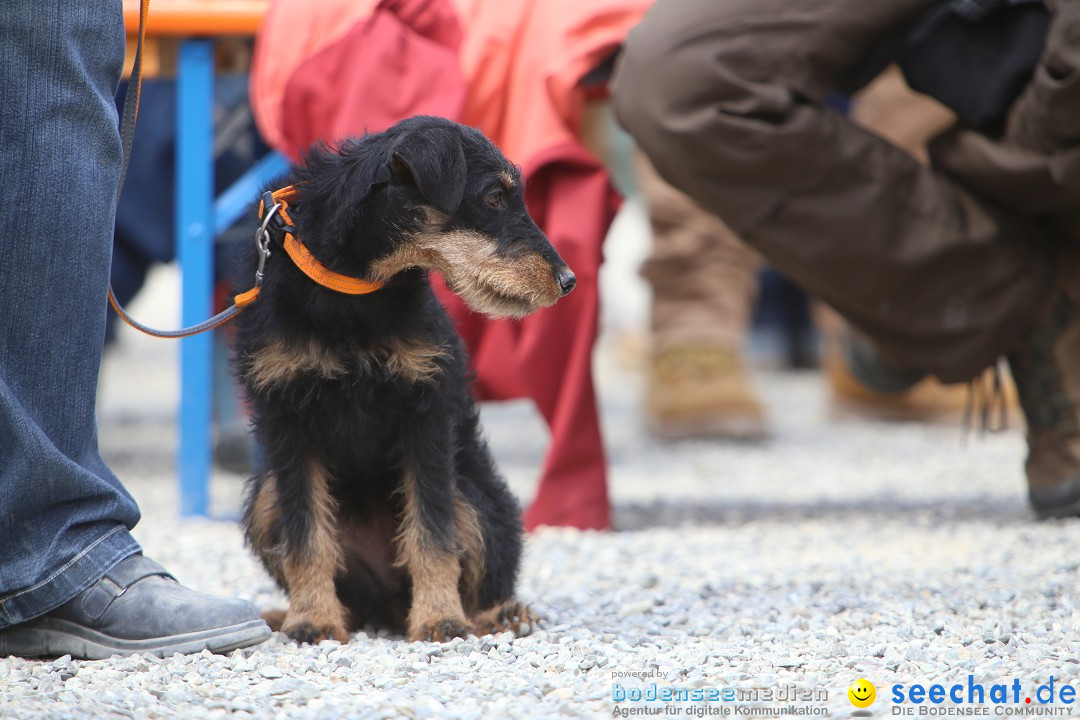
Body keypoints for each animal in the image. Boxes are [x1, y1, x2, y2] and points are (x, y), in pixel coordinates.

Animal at [233, 115, 578, 643]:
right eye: (494, 196)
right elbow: (306, 534)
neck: (354, 290)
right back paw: (289, 615)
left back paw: (498, 615)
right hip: (265, 497)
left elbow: (431, 534)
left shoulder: (425, 415)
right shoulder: (287, 419)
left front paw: (440, 618)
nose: (567, 280)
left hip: (473, 497)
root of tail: (387, 607)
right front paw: (312, 619)